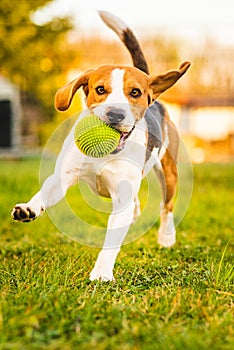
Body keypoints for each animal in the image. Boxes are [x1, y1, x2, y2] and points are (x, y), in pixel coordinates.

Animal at [11, 10, 190, 282]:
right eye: (100, 89)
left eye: (135, 92)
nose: (115, 114)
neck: (105, 155)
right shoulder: (62, 177)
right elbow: (44, 192)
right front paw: (28, 208)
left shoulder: (122, 197)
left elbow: (111, 241)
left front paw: (102, 273)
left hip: (168, 170)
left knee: (167, 205)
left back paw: (166, 236)